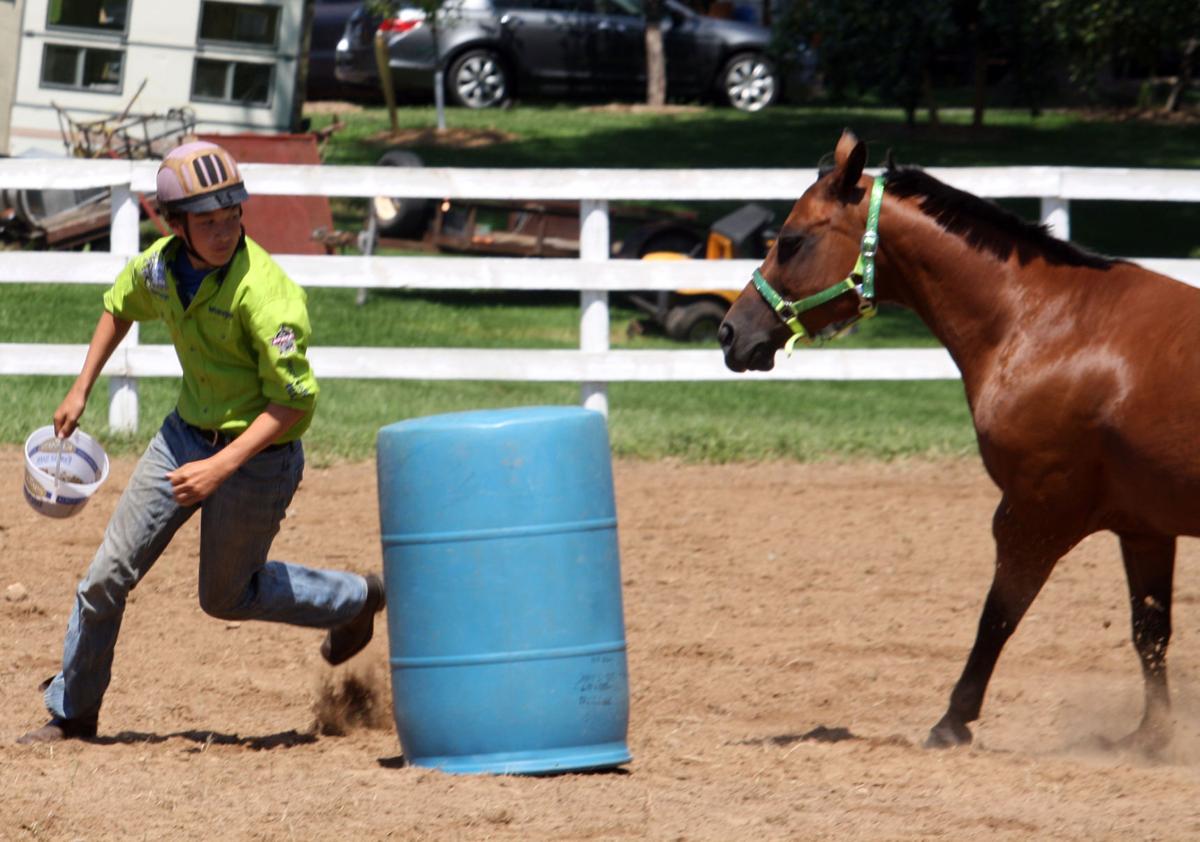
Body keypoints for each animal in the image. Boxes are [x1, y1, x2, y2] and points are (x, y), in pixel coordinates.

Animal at [718, 129, 1200, 752]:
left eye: (792, 240)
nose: (731, 332)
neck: (1054, 325)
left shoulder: (1035, 513)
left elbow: (999, 615)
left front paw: (953, 721)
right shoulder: (1144, 526)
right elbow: (1150, 631)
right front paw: (1151, 736)